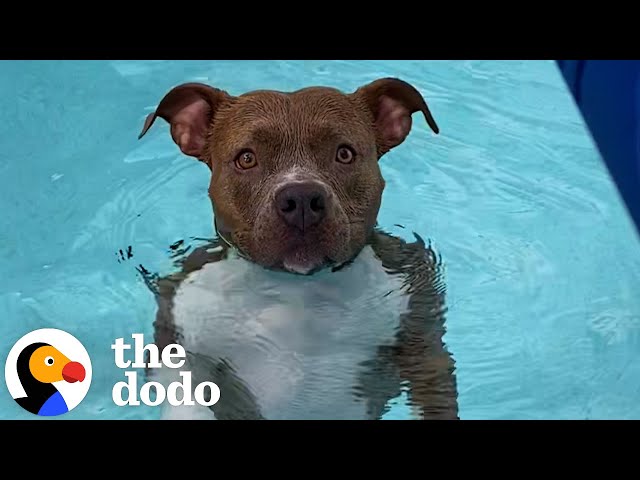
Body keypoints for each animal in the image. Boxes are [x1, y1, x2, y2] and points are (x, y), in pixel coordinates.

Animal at [138, 77, 458, 418]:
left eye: (344, 154)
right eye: (246, 158)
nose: (301, 198)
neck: (298, 291)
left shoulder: (421, 338)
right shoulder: (180, 335)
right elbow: (188, 394)